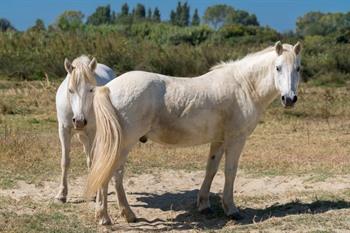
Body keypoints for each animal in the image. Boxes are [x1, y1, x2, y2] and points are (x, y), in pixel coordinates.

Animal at [54, 54, 115, 202]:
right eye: (70, 90)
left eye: (91, 89)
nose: (80, 121)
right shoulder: (63, 130)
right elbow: (65, 161)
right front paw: (61, 194)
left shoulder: (92, 132)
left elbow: (93, 161)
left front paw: (95, 193)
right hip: (82, 136)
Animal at [84, 41, 300, 224]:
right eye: (278, 67)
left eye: (298, 68)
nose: (289, 99)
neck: (245, 86)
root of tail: (107, 88)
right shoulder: (236, 139)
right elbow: (230, 171)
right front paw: (231, 210)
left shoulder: (219, 140)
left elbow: (211, 169)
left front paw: (204, 205)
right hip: (123, 143)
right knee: (110, 172)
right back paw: (104, 218)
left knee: (114, 174)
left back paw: (127, 215)